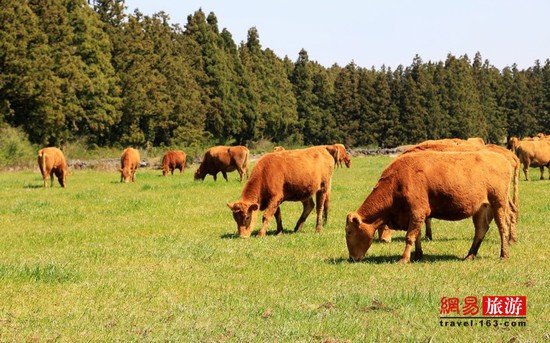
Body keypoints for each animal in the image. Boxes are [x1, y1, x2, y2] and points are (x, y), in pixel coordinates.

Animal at [348, 149, 516, 264]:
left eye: (349, 232)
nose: (351, 258)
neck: (398, 180)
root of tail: (502, 158)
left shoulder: (417, 211)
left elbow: (409, 237)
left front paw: (404, 259)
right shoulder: (416, 215)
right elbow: (417, 236)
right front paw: (418, 255)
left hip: (498, 203)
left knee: (502, 228)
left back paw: (504, 255)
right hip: (481, 208)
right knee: (481, 229)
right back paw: (470, 255)